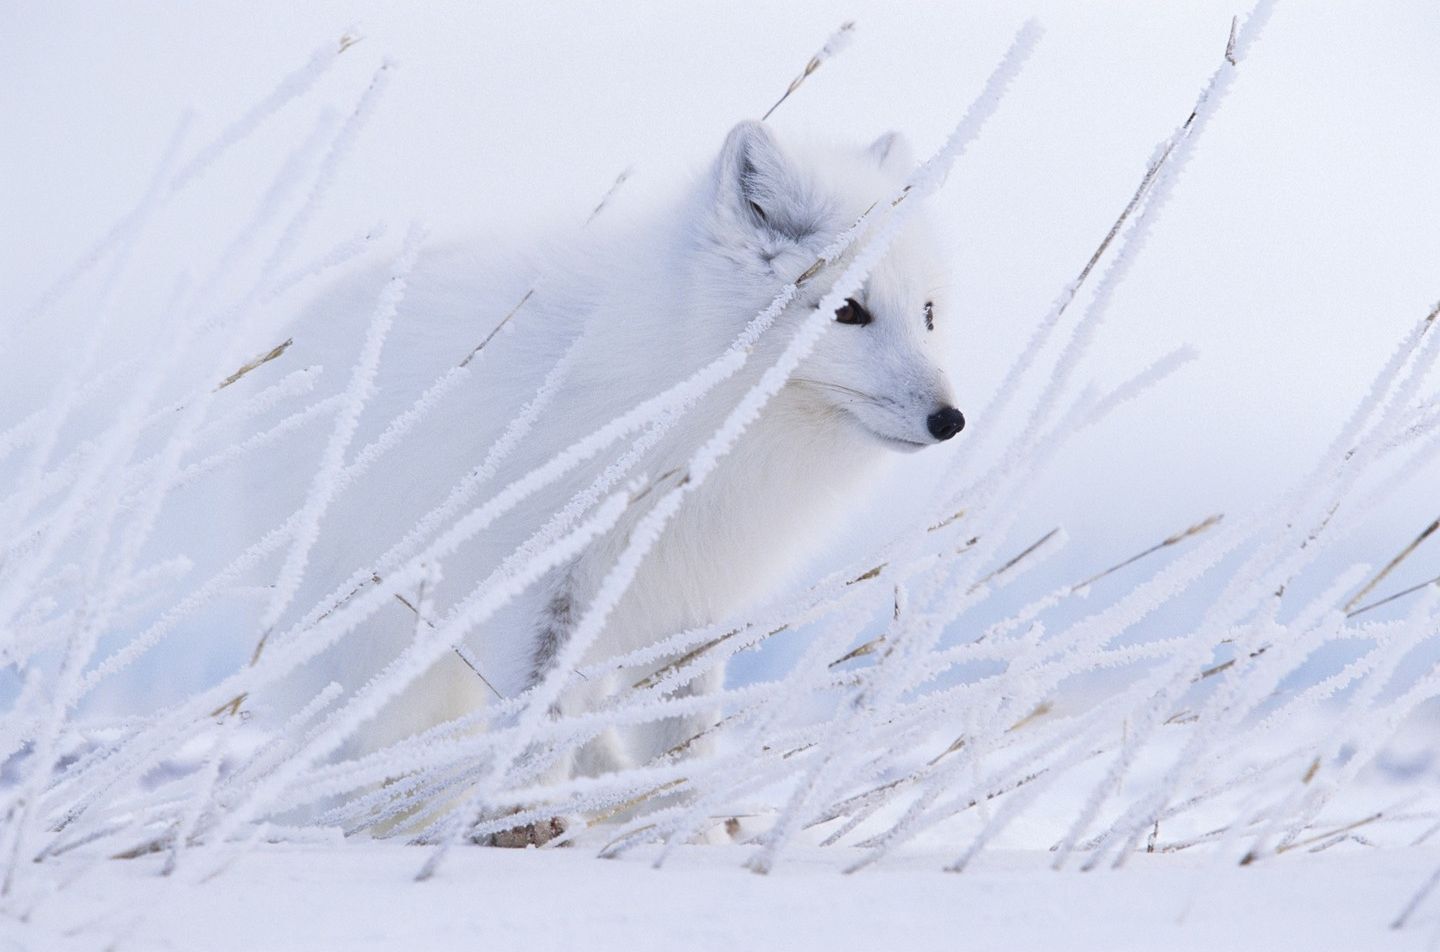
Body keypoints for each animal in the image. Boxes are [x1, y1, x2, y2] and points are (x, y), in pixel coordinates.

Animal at [262, 120, 956, 823]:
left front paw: (682, 825)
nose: (949, 421)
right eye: (847, 311)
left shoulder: (691, 605)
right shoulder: (543, 593)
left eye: (928, 314)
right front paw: (522, 821)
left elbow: (680, 743)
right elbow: (533, 730)